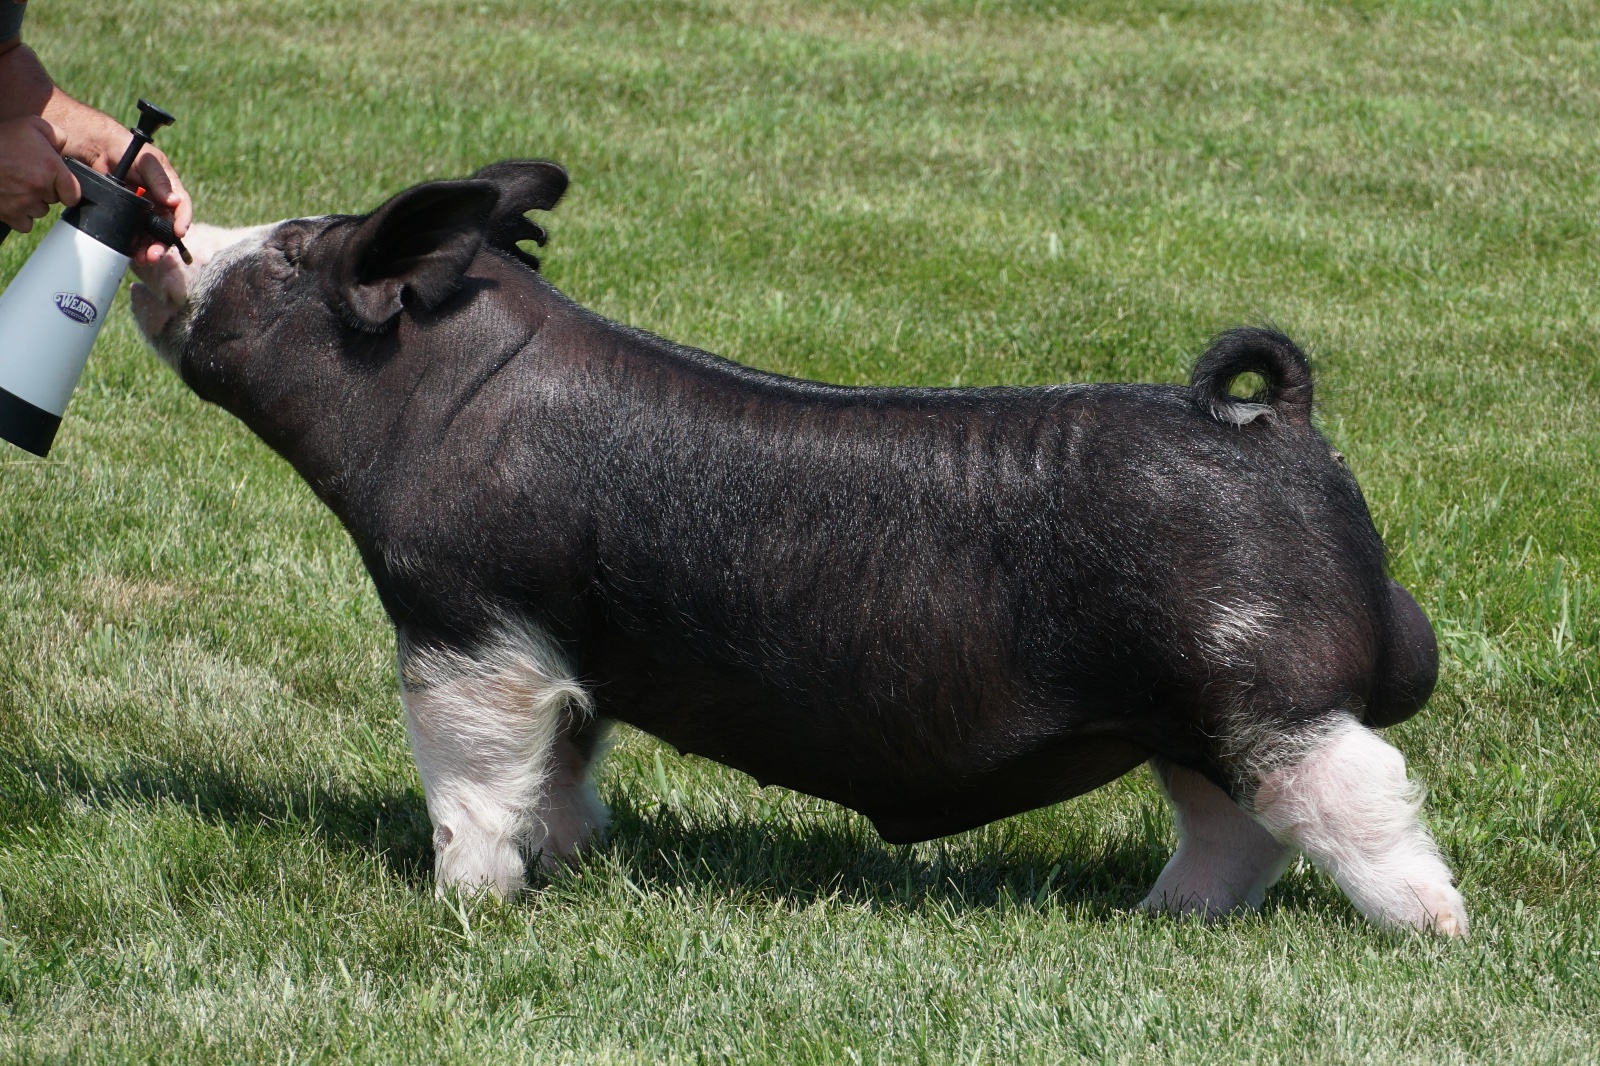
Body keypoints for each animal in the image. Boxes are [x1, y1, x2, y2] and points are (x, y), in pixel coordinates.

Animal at [129, 160, 1466, 935]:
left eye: (290, 257)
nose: (169, 245)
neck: (444, 401)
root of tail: (1267, 419)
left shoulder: (465, 621)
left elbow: (473, 773)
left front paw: (465, 904)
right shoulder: (576, 649)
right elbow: (567, 755)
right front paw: (567, 860)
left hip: (1256, 680)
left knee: (1354, 786)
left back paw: (1431, 929)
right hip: (1180, 704)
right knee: (1231, 822)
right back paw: (1164, 917)